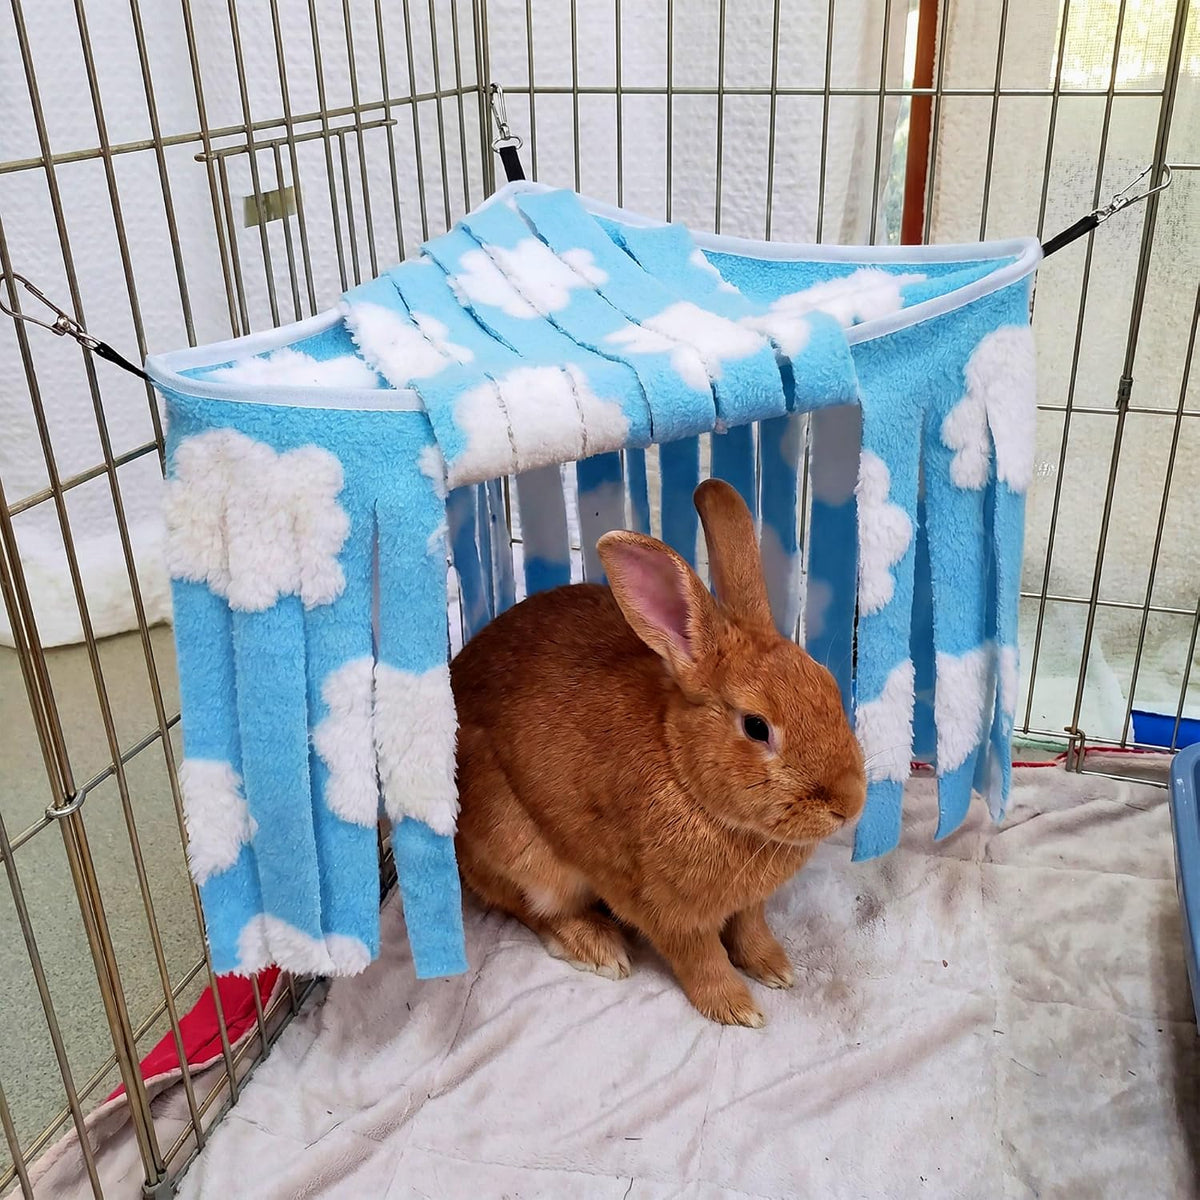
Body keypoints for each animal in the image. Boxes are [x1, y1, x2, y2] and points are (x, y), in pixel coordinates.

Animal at [450, 478, 866, 1027]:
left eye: (830, 687)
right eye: (757, 727)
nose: (850, 804)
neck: (683, 770)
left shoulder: (747, 904)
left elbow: (750, 929)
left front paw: (775, 968)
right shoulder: (665, 909)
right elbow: (700, 957)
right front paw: (737, 1008)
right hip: (522, 852)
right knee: (527, 906)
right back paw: (597, 947)